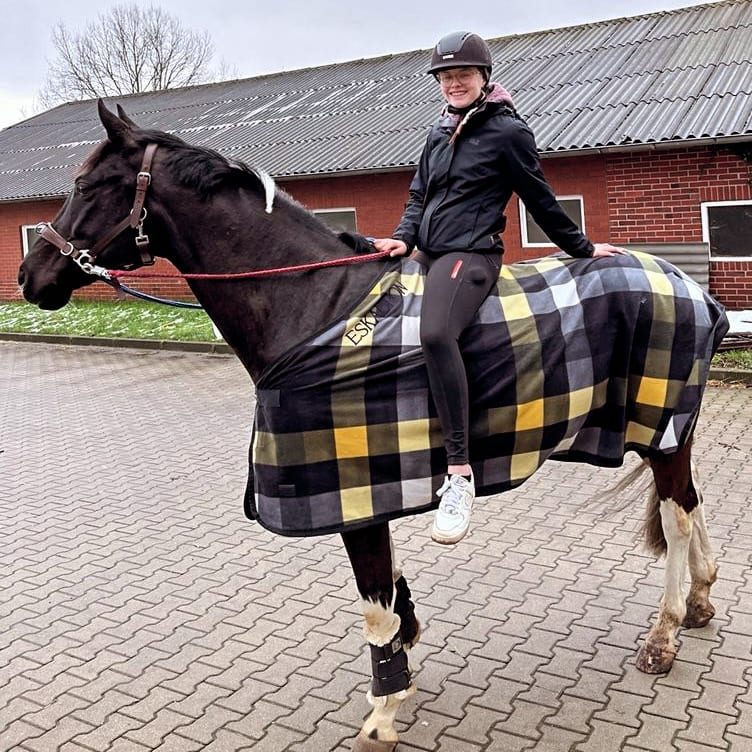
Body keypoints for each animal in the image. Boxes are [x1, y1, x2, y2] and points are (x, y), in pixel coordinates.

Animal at [19, 101, 728, 752]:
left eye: (86, 185)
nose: (31, 276)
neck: (316, 308)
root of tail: (690, 287)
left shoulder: (352, 497)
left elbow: (372, 603)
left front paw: (384, 711)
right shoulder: (367, 490)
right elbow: (388, 590)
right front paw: (405, 653)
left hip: (661, 430)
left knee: (674, 516)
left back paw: (664, 634)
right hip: (671, 431)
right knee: (690, 503)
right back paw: (699, 600)